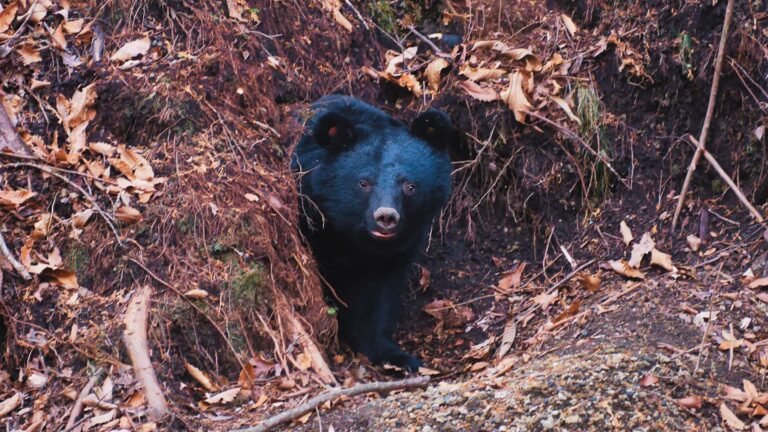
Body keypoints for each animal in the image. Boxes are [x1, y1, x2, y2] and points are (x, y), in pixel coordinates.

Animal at [291, 95, 454, 371]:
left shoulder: (398, 248)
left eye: (410, 186)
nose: (386, 217)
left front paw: (394, 355)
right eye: (364, 183)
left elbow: (376, 298)